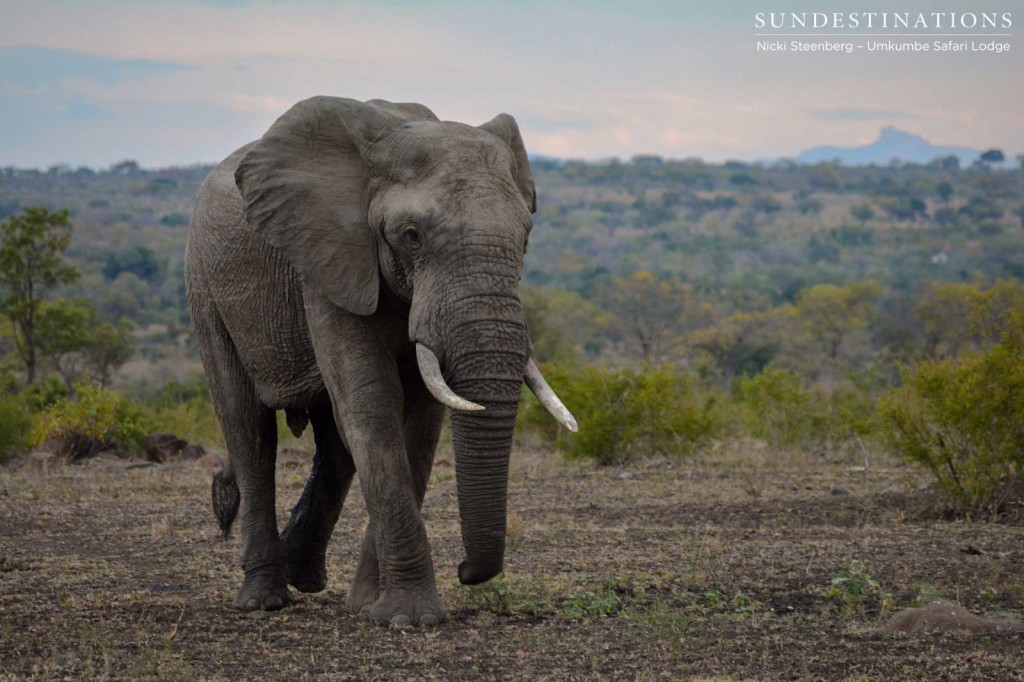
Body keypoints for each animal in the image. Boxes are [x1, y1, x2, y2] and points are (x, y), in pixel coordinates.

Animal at [184, 96, 577, 626]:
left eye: (526, 238)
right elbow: (372, 405)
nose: (465, 571)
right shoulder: (328, 258)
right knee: (248, 429)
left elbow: (418, 424)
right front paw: (410, 617)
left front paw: (372, 607)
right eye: (411, 236)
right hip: (204, 285)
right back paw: (264, 600)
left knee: (335, 446)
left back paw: (303, 575)